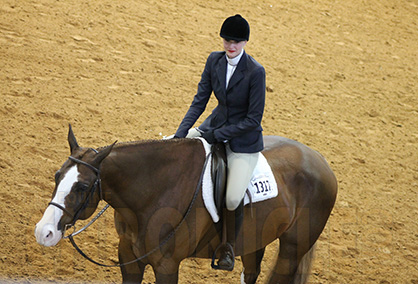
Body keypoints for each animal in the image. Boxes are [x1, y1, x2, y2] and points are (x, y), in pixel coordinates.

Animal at [34, 126, 338, 284]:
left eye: (82, 187)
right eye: (57, 176)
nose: (43, 232)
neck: (152, 191)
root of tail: (321, 161)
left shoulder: (167, 265)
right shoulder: (128, 257)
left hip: (292, 248)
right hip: (255, 240)